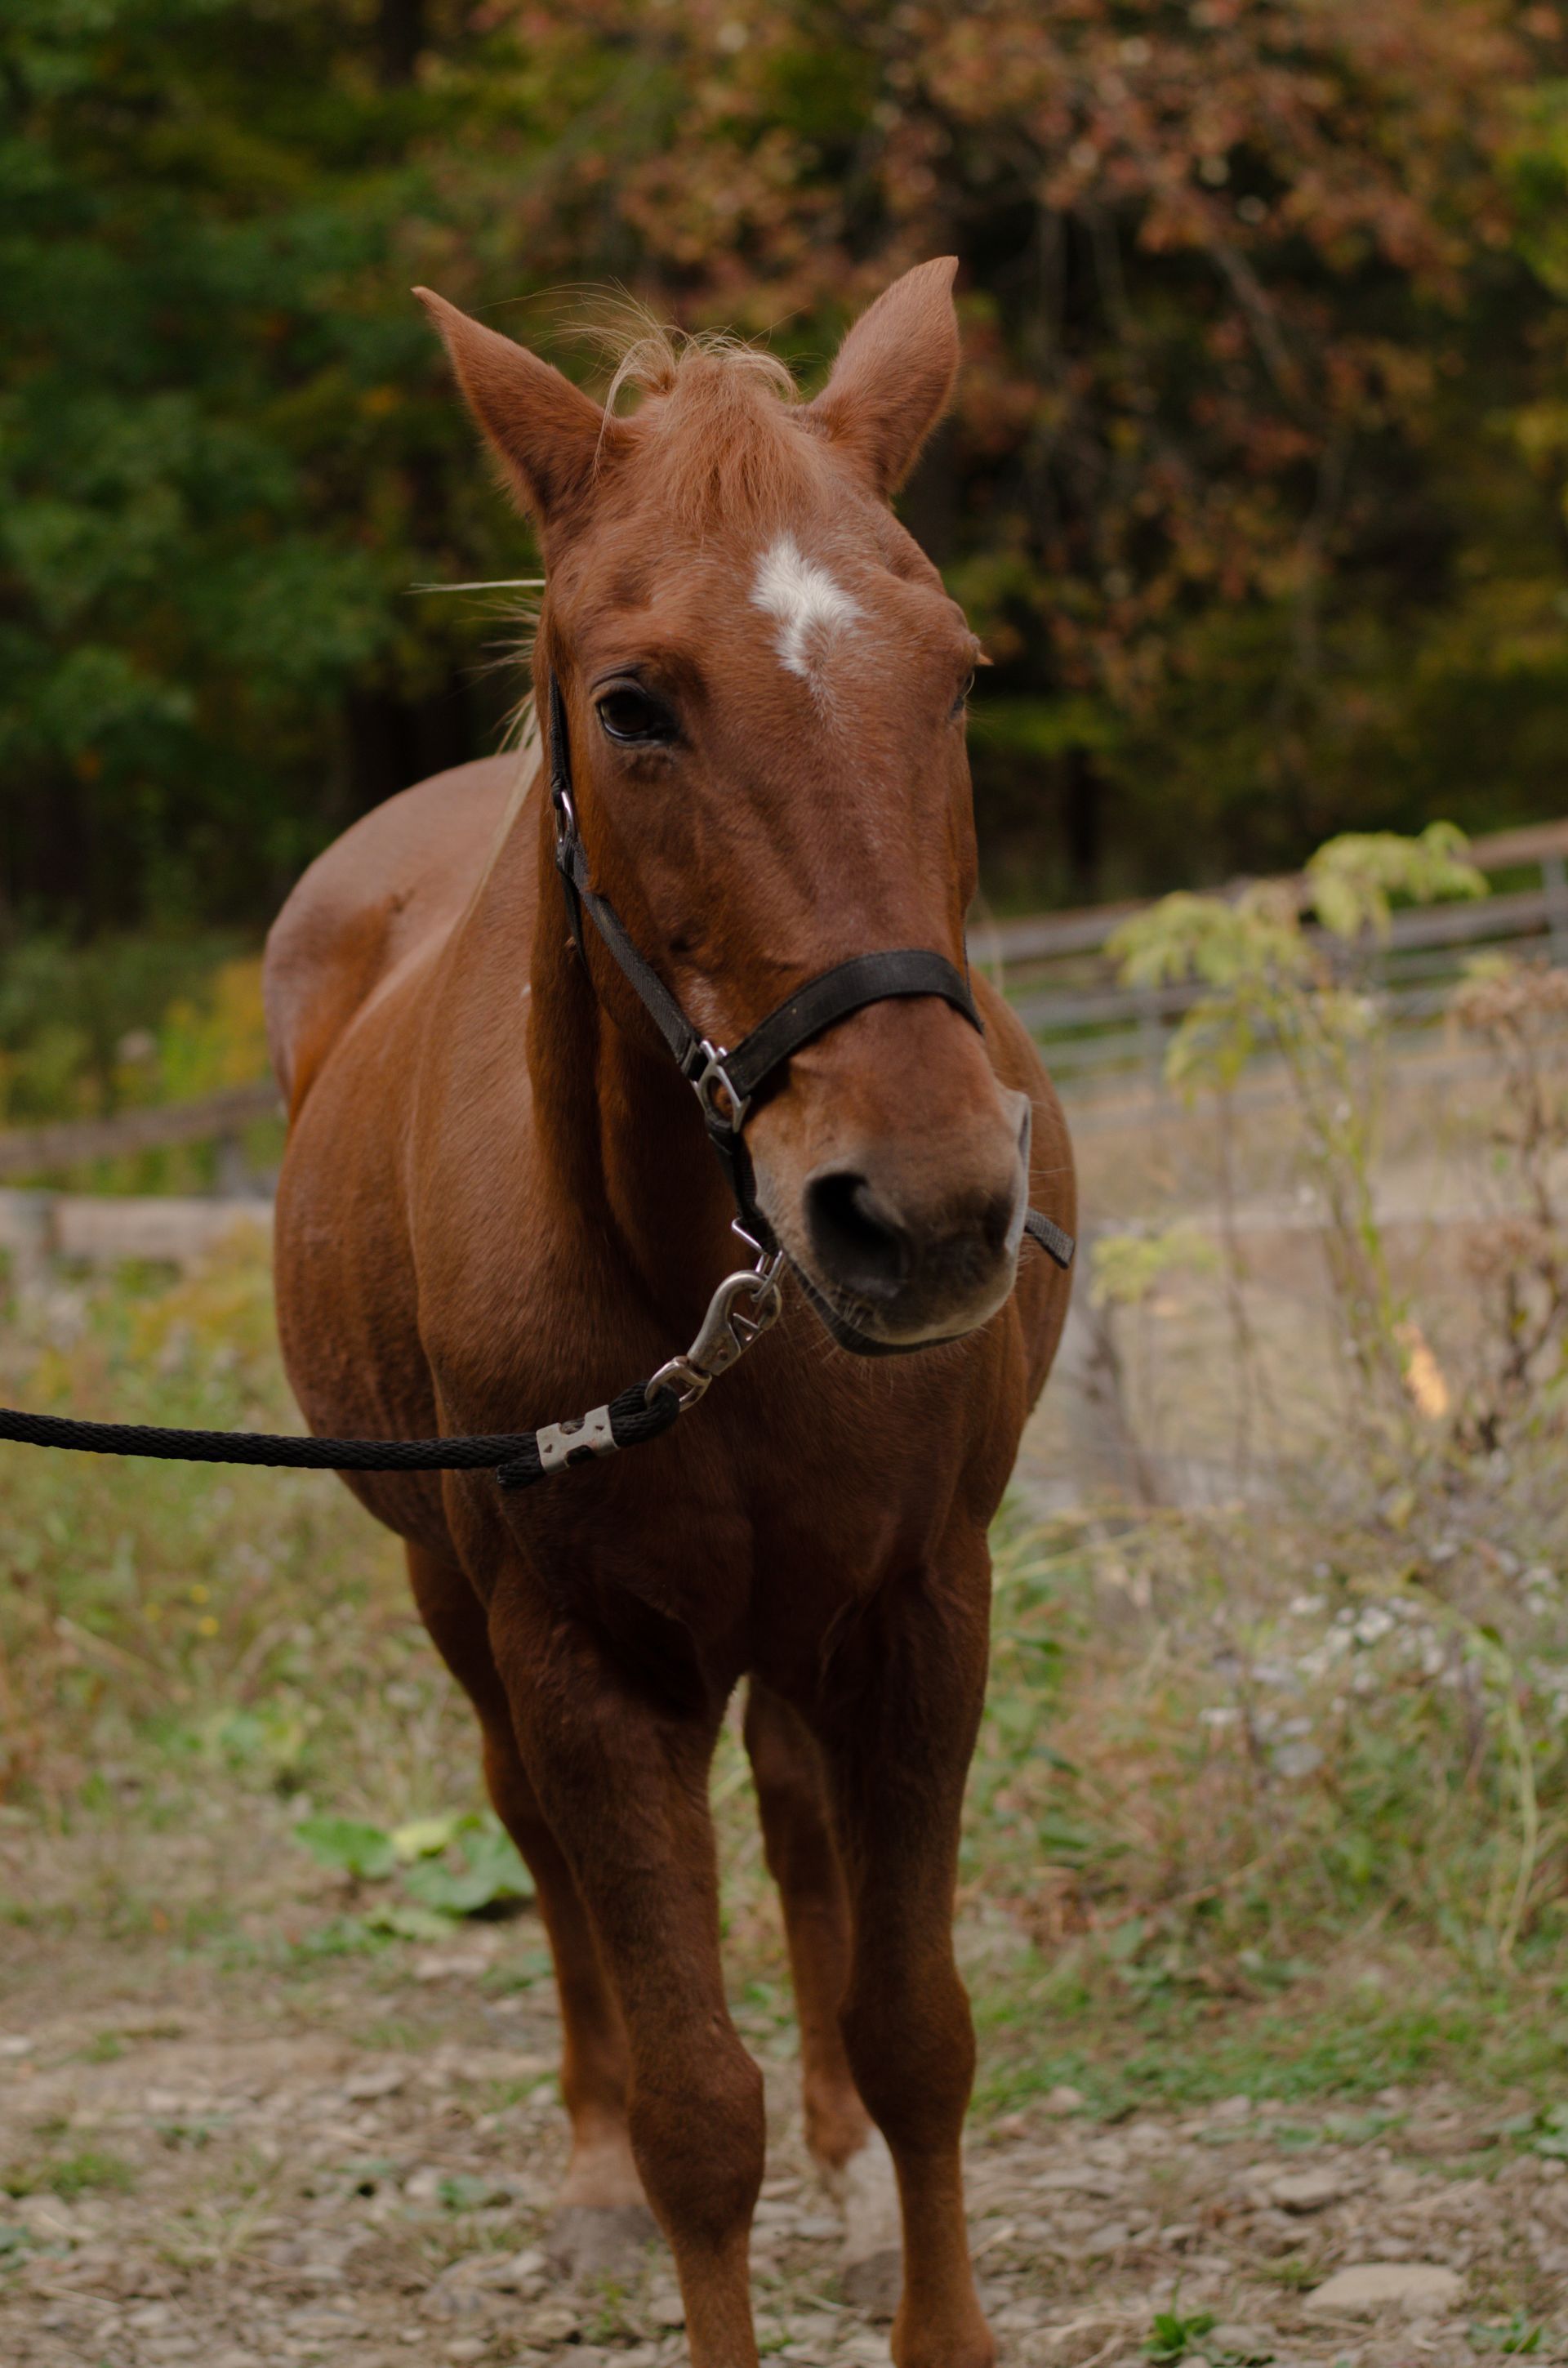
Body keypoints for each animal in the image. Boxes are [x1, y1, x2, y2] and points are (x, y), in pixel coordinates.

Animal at [263, 256, 1075, 2368]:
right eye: (632, 704)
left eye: (958, 674)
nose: (924, 1214)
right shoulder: (579, 1660)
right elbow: (694, 2099)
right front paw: (654, 2175)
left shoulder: (920, 1606)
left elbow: (918, 2027)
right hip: (459, 1608)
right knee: (544, 1864)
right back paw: (586, 2181)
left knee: (792, 1833)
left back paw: (848, 2185)